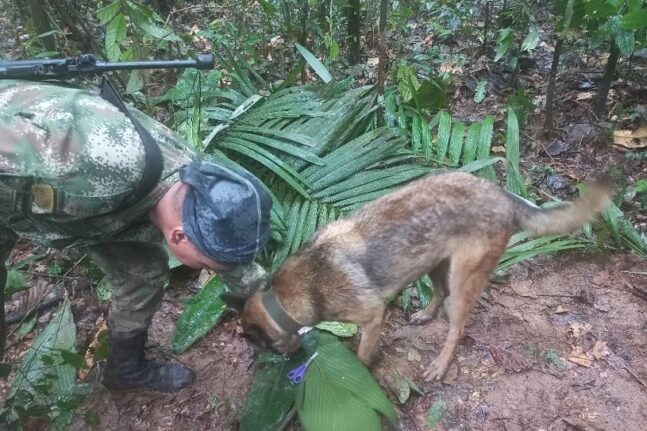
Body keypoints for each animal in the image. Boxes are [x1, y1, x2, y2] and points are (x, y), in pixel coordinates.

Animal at [223, 172, 612, 382]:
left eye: (263, 346)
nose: (286, 363)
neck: (285, 297)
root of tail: (503, 195)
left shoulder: (373, 317)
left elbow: (362, 355)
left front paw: (359, 372)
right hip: (434, 263)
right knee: (437, 294)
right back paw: (425, 315)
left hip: (462, 279)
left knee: (456, 327)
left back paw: (440, 365)